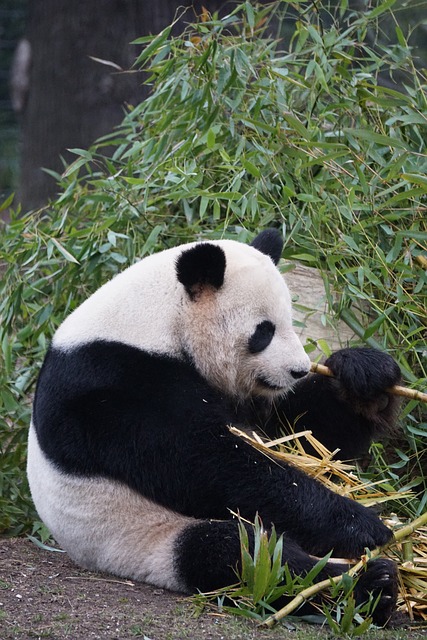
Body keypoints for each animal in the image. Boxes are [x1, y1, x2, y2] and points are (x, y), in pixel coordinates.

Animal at [26, 229, 402, 624]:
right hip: (137, 536)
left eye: (291, 319)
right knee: (243, 556)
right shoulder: (113, 387)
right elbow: (205, 462)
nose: (298, 371)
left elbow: (303, 432)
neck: (155, 319)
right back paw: (366, 585)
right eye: (264, 332)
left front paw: (365, 376)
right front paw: (361, 524)